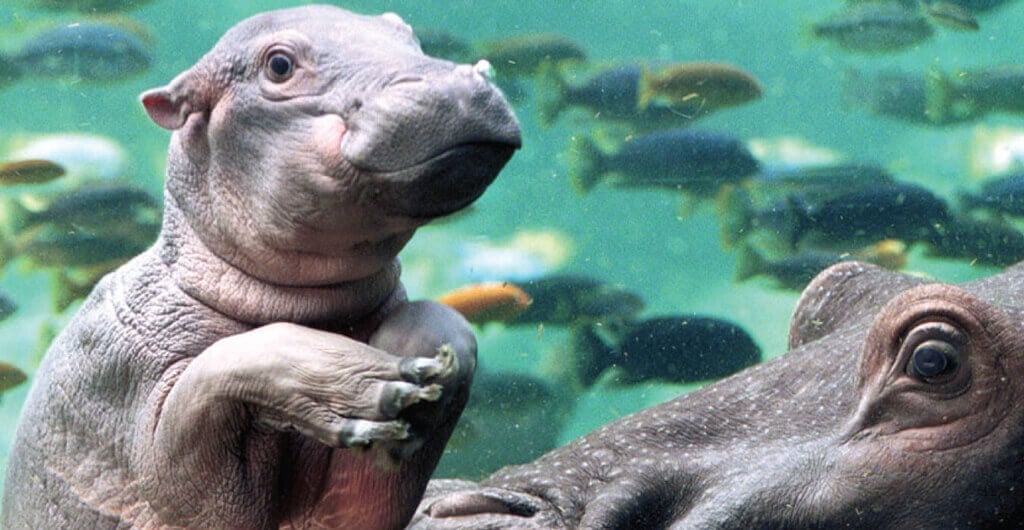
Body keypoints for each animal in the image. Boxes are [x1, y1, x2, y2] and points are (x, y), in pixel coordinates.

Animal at [2, 5, 519, 529]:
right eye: (279, 65)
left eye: (406, 31)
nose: (459, 83)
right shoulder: (143, 432)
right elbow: (224, 369)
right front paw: (372, 383)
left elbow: (443, 321)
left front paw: (421, 388)